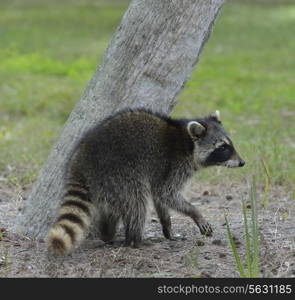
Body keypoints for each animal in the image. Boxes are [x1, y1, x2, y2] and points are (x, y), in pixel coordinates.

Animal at [45, 109, 245, 254]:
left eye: (230, 144)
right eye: (223, 148)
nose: (243, 162)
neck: (187, 142)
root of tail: (79, 163)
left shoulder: (161, 171)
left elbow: (160, 199)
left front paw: (167, 227)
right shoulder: (173, 165)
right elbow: (165, 193)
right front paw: (195, 212)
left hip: (107, 184)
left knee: (114, 208)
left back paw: (108, 234)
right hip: (119, 173)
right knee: (137, 202)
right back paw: (136, 241)